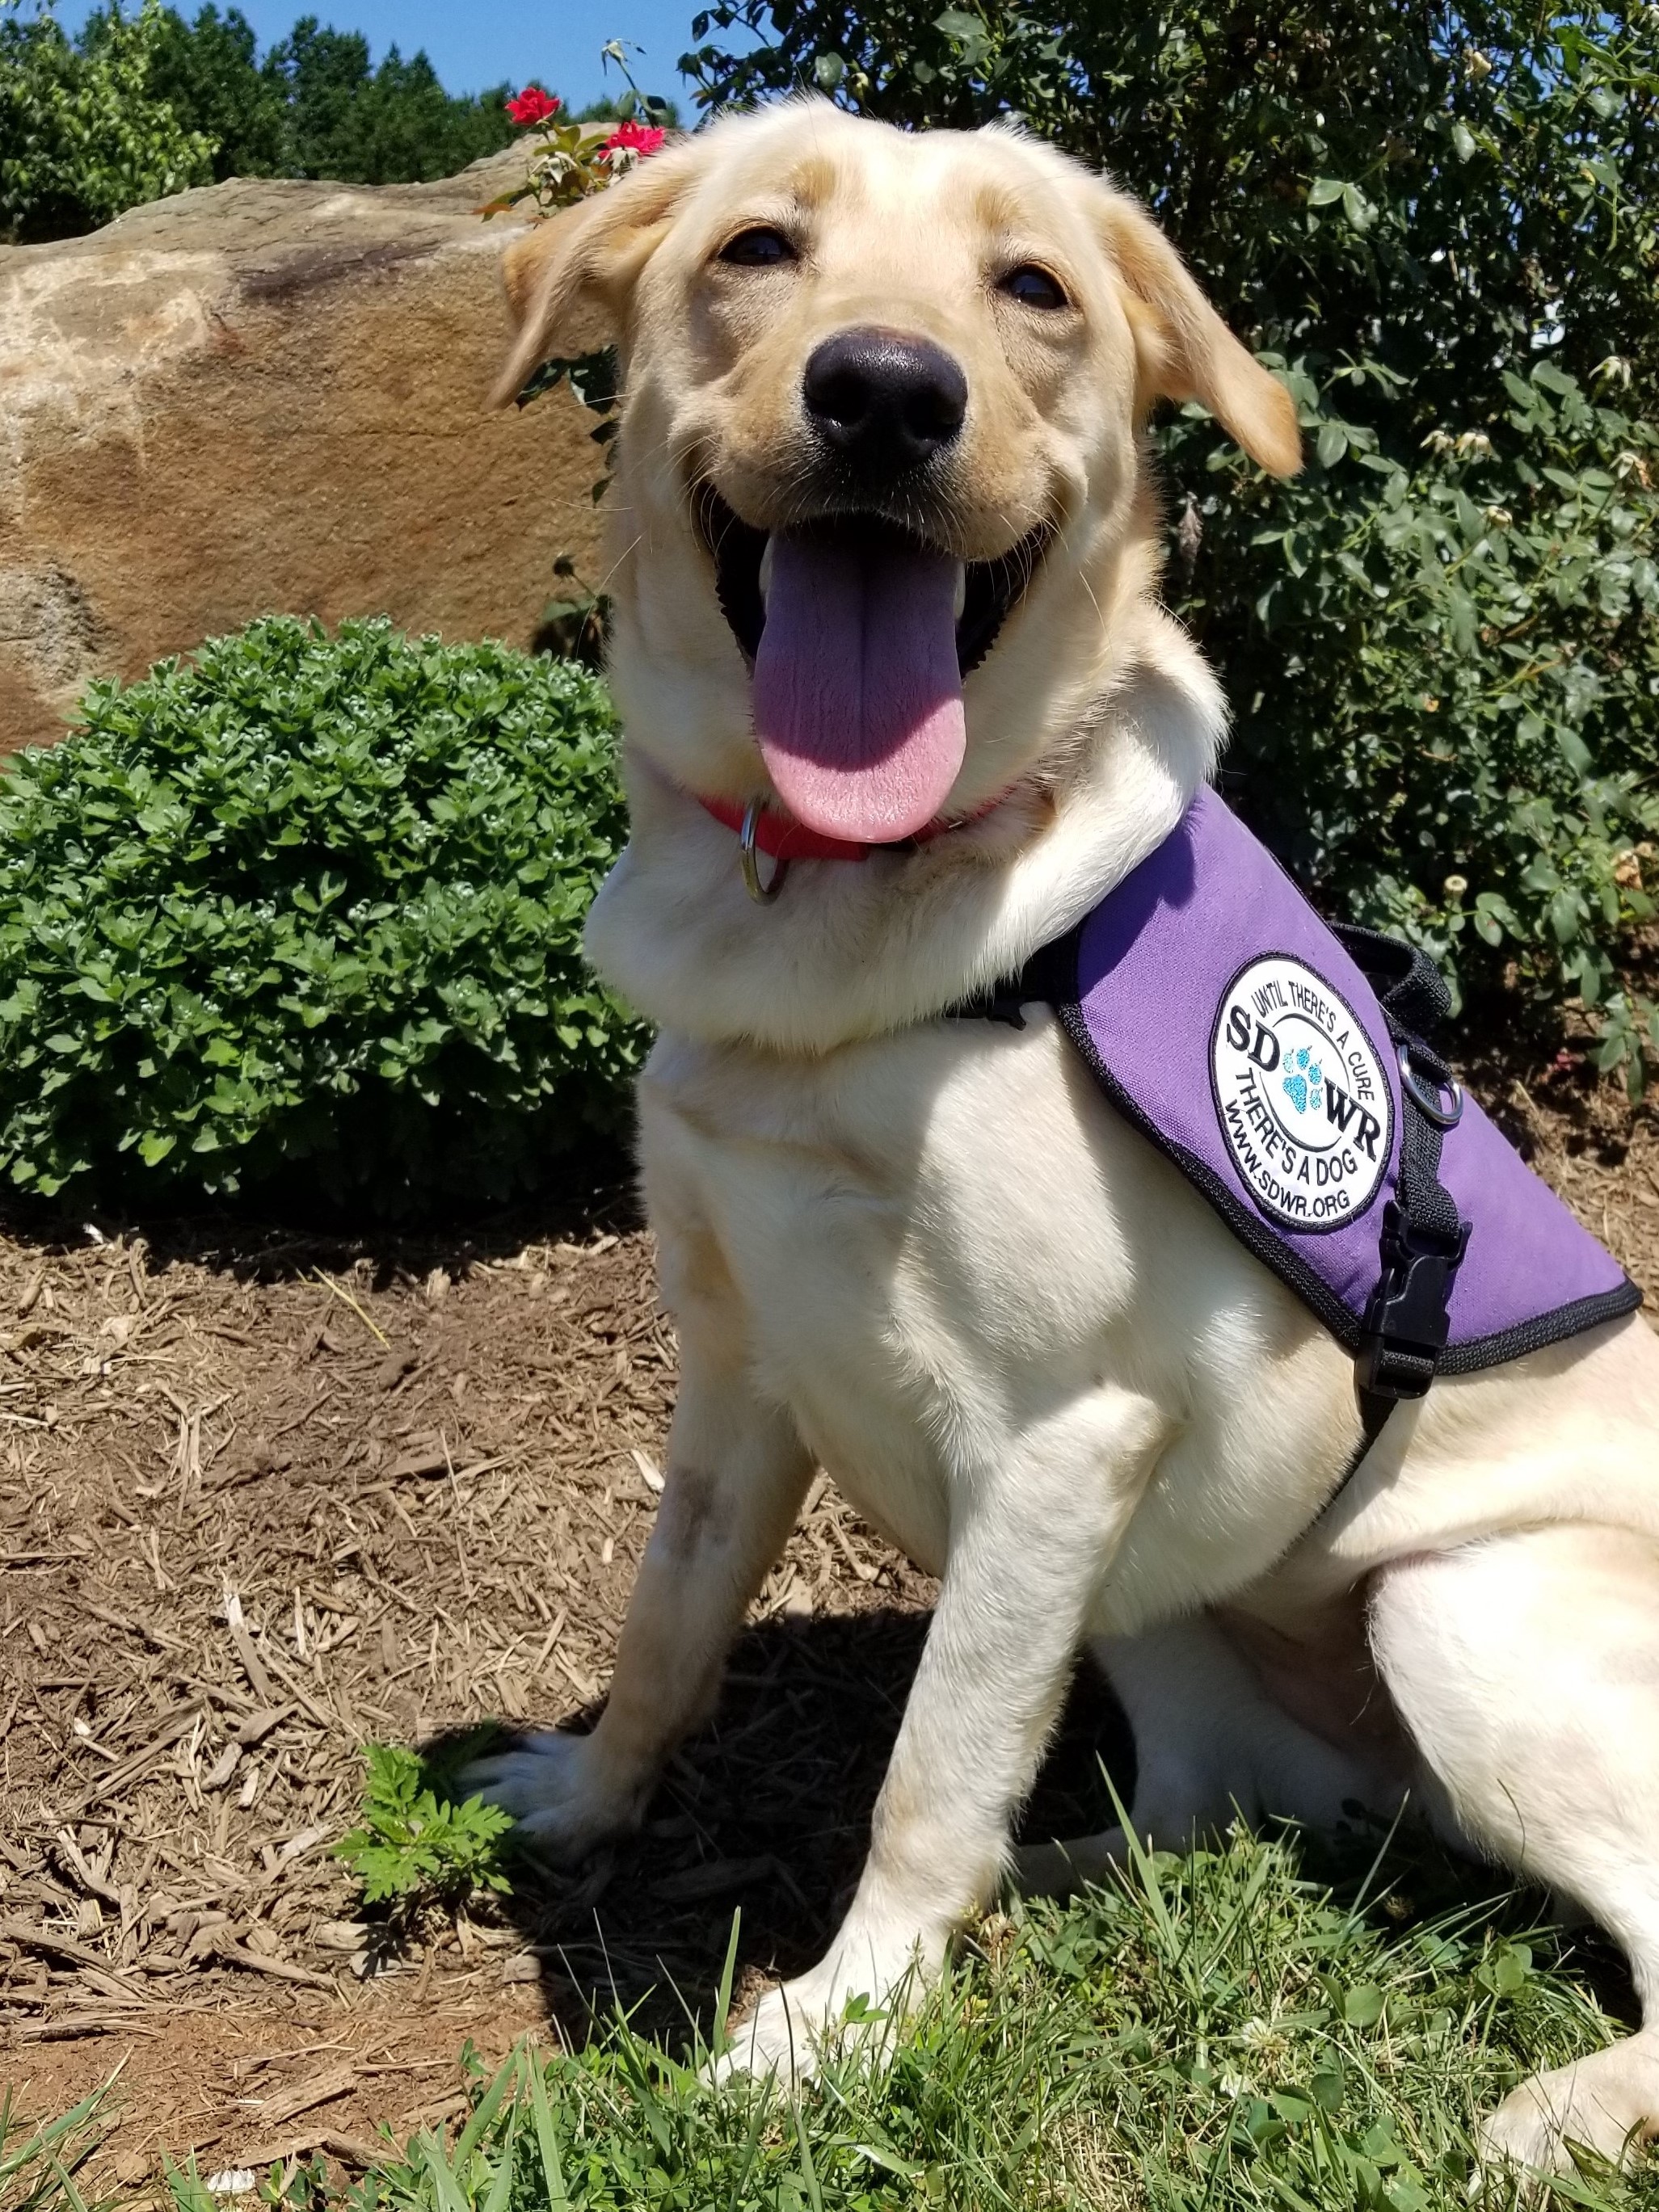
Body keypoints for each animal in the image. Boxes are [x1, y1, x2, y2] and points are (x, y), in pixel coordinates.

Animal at [469, 107, 1659, 2176]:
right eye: (757, 249)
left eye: (1030, 288)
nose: (883, 392)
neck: (838, 907)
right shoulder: (736, 1367)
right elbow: (669, 1628)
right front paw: (595, 1800)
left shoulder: (1055, 1435)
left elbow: (927, 1775)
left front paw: (833, 2030)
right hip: (1163, 1606)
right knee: (1211, 1809)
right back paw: (1058, 1883)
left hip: (1448, 1607)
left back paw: (1568, 2105)